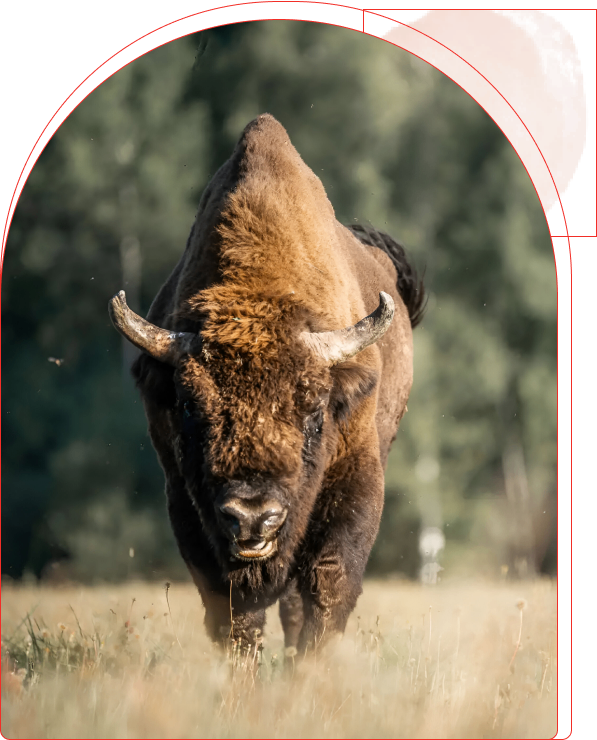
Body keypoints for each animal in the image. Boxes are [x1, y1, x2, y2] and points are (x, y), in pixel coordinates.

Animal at [109, 114, 424, 656]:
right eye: (190, 407)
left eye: (315, 409)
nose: (254, 516)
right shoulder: (184, 497)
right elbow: (234, 609)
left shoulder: (357, 477)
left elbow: (329, 584)